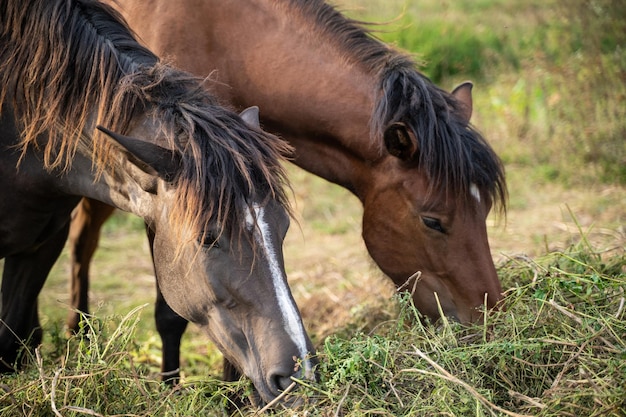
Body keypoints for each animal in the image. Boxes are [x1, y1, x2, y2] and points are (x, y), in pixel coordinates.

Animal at [70, 0, 504, 382]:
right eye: (433, 221)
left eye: (483, 210)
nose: (491, 321)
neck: (226, 36)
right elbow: (174, 315)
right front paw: (171, 388)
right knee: (81, 242)